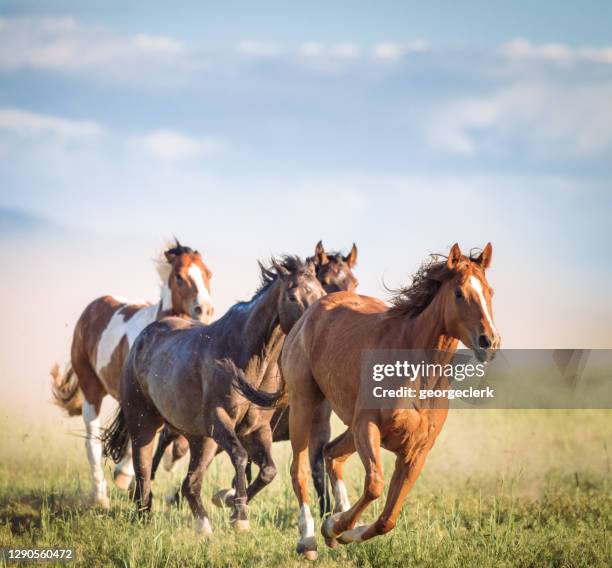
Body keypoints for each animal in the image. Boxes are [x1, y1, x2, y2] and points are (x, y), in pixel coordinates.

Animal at [50, 240, 214, 510]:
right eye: (179, 277)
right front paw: (125, 477)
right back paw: (101, 497)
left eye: (208, 274)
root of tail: (93, 306)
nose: (206, 309)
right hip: (91, 389)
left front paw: (168, 461)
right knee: (92, 442)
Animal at [103, 256, 328, 532]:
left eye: (321, 292)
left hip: (200, 440)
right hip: (144, 424)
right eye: (293, 296)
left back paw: (203, 527)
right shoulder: (219, 421)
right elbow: (241, 457)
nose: (315, 328)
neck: (246, 357)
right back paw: (144, 517)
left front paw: (230, 502)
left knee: (190, 484)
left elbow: (268, 471)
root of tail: (141, 339)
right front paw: (239, 515)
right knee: (145, 471)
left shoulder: (258, 429)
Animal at [153, 241, 360, 520]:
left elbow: (313, 468)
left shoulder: (315, 425)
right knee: (164, 441)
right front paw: (232, 501)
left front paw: (328, 513)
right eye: (326, 282)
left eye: (354, 283)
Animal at [232, 244, 500, 560]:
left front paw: (342, 530)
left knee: (330, 452)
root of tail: (309, 315)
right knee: (300, 469)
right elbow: (374, 486)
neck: (417, 374)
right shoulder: (367, 427)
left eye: (490, 291)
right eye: (459, 293)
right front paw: (333, 527)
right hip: (305, 405)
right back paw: (308, 539)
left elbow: (387, 519)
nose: (489, 342)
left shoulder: (416, 451)